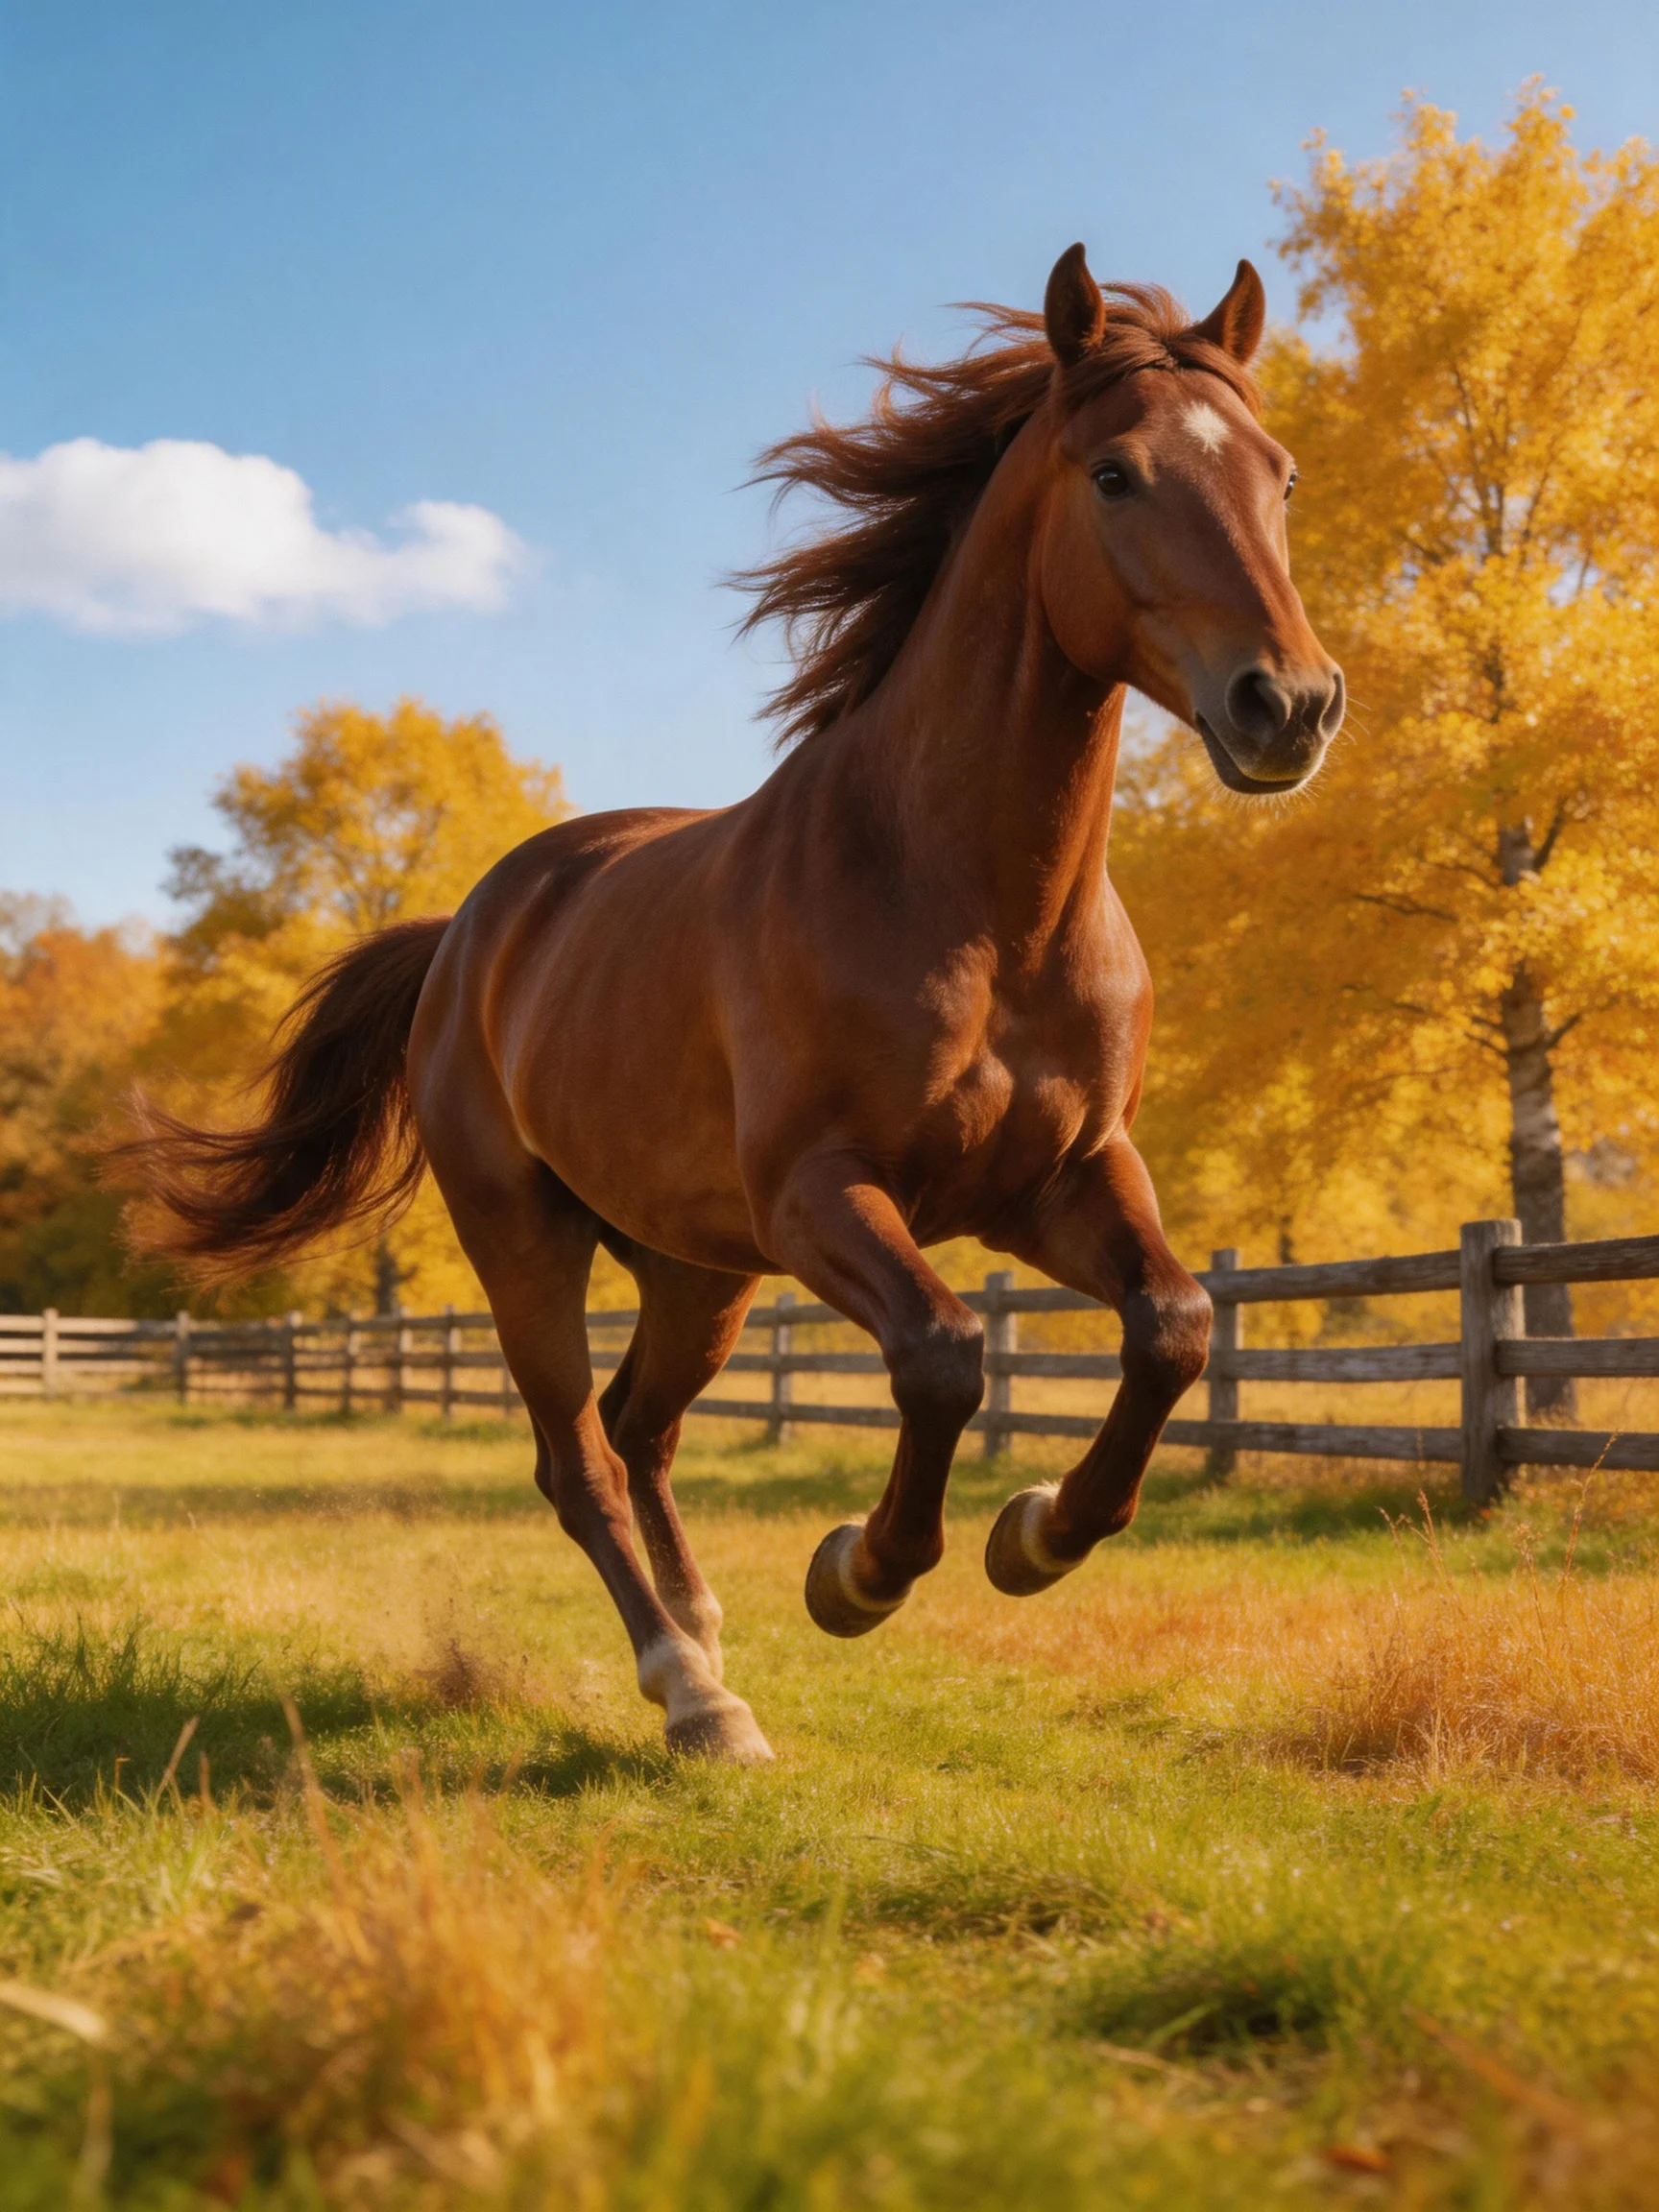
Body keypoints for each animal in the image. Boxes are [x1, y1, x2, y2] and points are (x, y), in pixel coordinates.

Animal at [131, 245, 1342, 1764]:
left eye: (1280, 474)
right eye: (1116, 473)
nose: (1288, 705)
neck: (974, 905)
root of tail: (468, 933)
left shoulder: (1060, 1180)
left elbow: (1173, 1327)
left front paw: (1036, 1535)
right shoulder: (822, 1194)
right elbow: (944, 1354)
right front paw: (860, 1574)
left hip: (696, 1265)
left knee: (641, 1424)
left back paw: (701, 1632)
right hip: (531, 1241)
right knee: (578, 1455)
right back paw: (695, 1694)